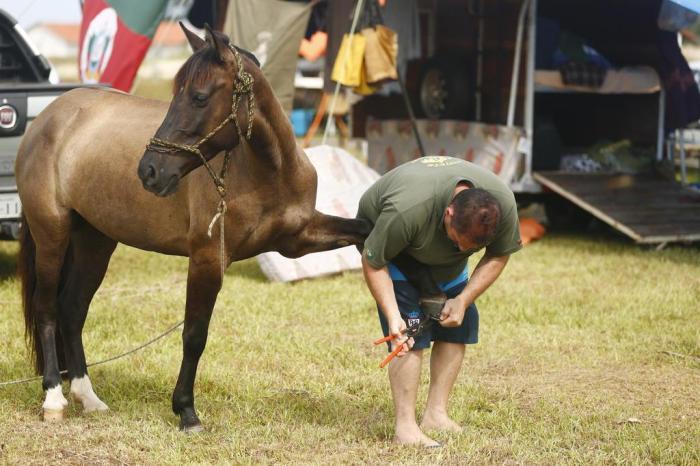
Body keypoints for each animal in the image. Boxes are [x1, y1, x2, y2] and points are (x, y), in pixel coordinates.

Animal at [13, 25, 370, 432]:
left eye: (199, 97)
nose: (149, 171)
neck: (268, 172)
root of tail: (49, 118)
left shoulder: (299, 240)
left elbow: (362, 229)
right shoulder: (206, 259)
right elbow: (194, 334)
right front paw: (186, 410)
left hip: (95, 241)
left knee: (72, 308)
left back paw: (88, 397)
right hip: (52, 235)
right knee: (47, 308)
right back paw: (53, 398)